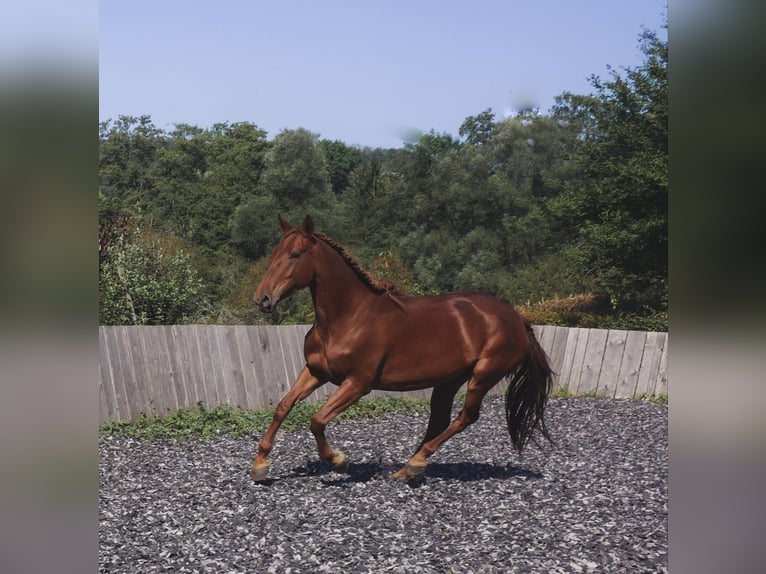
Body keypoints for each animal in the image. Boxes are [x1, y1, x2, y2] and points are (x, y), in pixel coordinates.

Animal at [252, 216, 552, 482]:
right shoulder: (316, 372)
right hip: (450, 380)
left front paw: (339, 460)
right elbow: (283, 406)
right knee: (440, 420)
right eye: (274, 253)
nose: (262, 298)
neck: (348, 317)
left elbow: (317, 420)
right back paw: (406, 468)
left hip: (483, 376)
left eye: (295, 254)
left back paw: (415, 463)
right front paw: (260, 466)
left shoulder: (358, 383)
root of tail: (517, 319)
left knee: (466, 417)